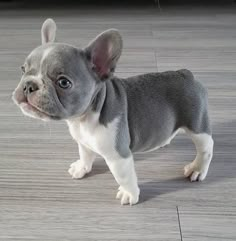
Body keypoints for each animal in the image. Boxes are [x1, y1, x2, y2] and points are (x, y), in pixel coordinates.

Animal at [12, 18, 214, 205]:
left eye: (63, 82)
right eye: (22, 69)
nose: (29, 85)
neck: (84, 118)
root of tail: (186, 73)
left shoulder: (119, 157)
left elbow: (124, 177)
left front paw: (130, 194)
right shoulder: (83, 142)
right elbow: (85, 155)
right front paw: (81, 168)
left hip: (197, 126)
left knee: (206, 146)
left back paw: (197, 169)